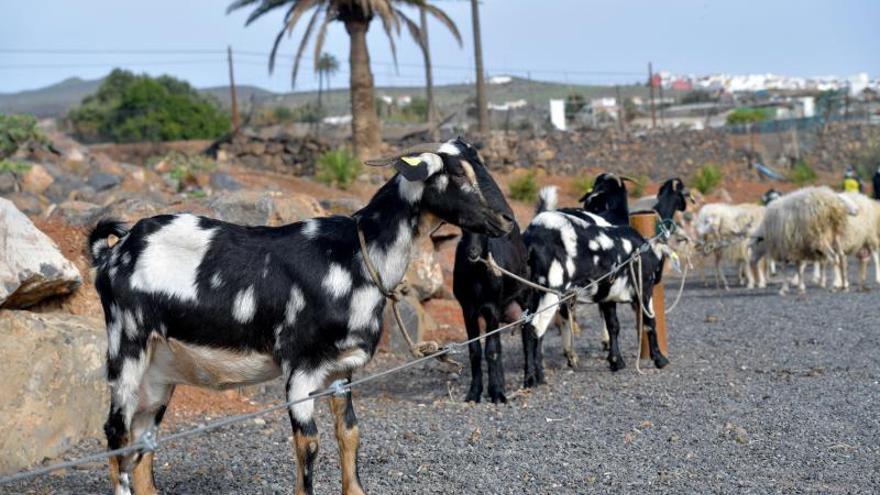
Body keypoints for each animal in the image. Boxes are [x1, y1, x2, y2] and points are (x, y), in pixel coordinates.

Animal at [87, 138, 516, 495]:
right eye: (457, 173)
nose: (508, 221)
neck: (356, 257)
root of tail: (114, 252)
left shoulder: (341, 369)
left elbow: (350, 433)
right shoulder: (300, 367)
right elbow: (308, 445)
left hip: (160, 369)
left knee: (142, 442)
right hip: (127, 345)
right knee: (116, 432)